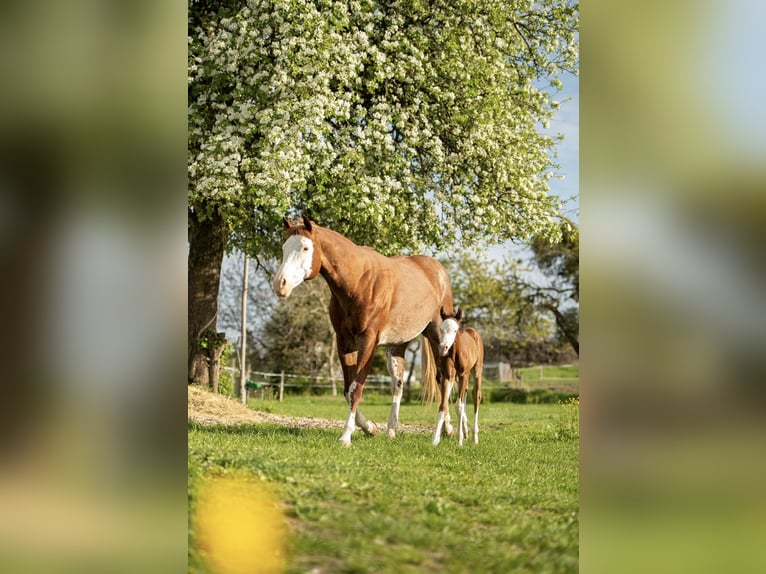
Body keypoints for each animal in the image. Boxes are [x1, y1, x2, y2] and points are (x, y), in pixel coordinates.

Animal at [272, 216, 454, 446]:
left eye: (305, 247)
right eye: (284, 247)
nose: (280, 284)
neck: (358, 282)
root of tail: (438, 270)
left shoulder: (367, 341)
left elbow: (356, 389)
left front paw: (346, 436)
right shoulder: (344, 342)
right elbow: (347, 390)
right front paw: (370, 428)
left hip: (439, 338)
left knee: (445, 378)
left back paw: (447, 429)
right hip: (397, 345)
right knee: (398, 385)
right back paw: (392, 431)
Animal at [424, 307, 484, 446]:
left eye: (455, 330)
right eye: (441, 329)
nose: (443, 348)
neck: (455, 354)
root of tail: (473, 332)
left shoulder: (464, 375)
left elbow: (459, 406)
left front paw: (459, 440)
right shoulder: (448, 377)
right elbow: (443, 406)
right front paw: (435, 440)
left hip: (477, 369)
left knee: (476, 395)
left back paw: (475, 437)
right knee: (466, 393)